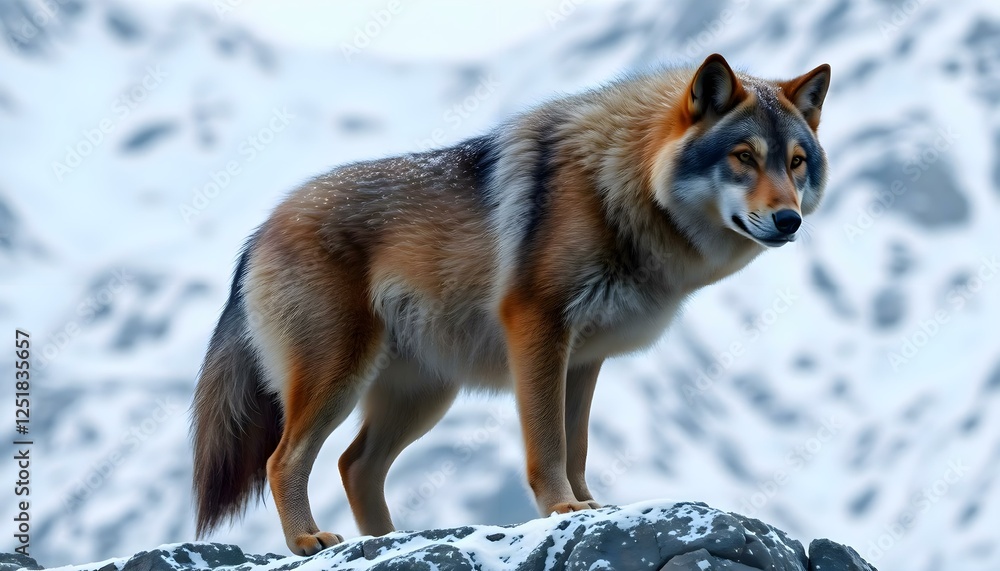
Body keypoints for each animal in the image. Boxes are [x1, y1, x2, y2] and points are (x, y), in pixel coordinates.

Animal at [191, 54, 830, 555]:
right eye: (744, 156)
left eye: (796, 162)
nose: (790, 220)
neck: (614, 190)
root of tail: (259, 231)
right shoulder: (538, 329)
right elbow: (547, 444)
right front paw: (561, 509)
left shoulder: (584, 359)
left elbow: (577, 447)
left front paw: (590, 507)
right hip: (341, 377)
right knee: (284, 460)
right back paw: (308, 540)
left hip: (423, 397)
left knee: (355, 465)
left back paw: (389, 540)